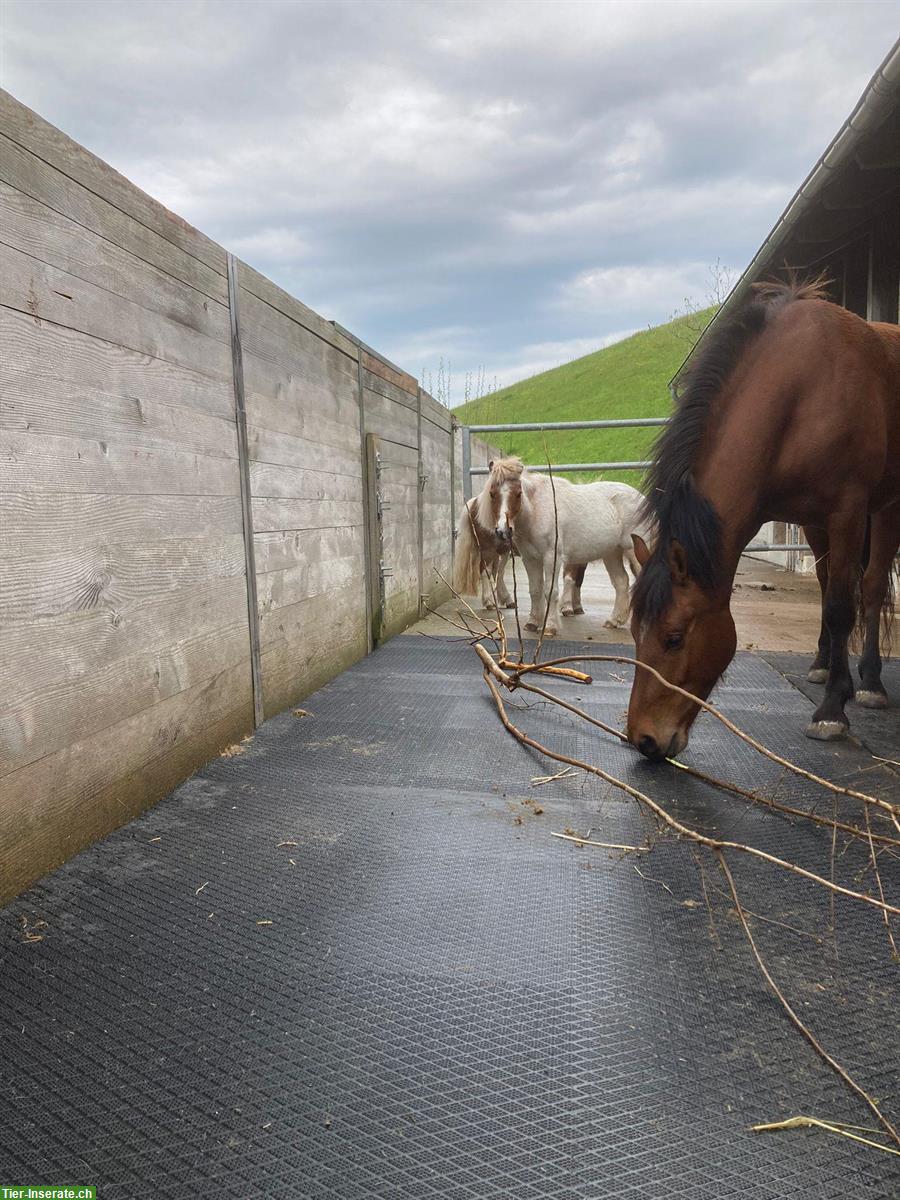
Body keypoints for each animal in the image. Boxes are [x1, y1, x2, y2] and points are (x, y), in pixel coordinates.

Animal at [468, 453, 652, 633]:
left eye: (518, 494)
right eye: (492, 493)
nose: (502, 530)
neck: (537, 511)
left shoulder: (552, 557)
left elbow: (551, 590)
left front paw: (550, 626)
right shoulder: (530, 558)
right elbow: (535, 590)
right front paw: (533, 623)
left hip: (634, 550)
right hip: (612, 553)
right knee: (621, 582)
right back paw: (614, 620)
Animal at [628, 280, 900, 758]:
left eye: (674, 637)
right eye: (631, 632)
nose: (643, 740)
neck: (803, 389)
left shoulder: (847, 510)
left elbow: (842, 607)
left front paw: (832, 710)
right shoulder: (811, 518)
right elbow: (830, 596)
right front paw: (830, 678)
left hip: (883, 509)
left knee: (870, 588)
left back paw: (869, 682)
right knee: (828, 581)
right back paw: (822, 664)